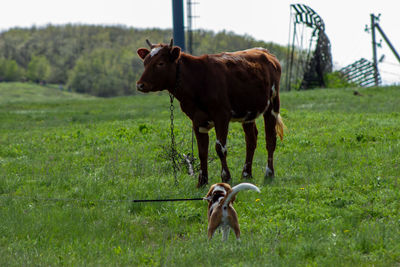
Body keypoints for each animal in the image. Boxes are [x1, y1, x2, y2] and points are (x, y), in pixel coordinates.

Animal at [138, 39, 284, 188]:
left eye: (160, 63)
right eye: (145, 62)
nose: (140, 85)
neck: (197, 80)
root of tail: (265, 52)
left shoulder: (222, 116)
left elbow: (220, 148)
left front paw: (226, 177)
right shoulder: (197, 120)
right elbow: (202, 151)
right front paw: (202, 182)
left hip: (273, 105)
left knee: (270, 139)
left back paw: (269, 173)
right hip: (248, 113)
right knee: (251, 140)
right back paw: (246, 174)